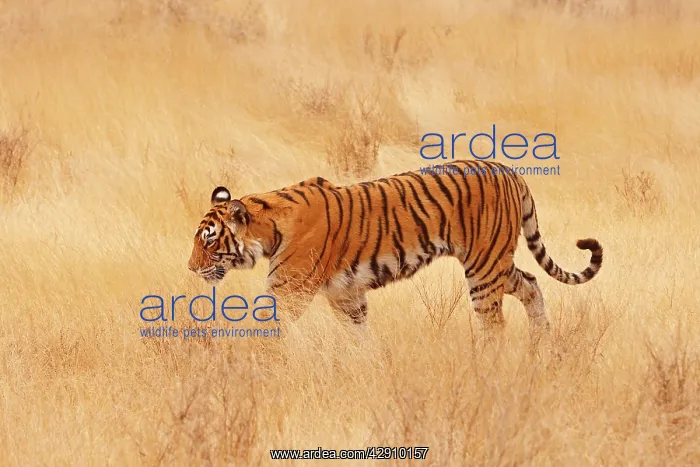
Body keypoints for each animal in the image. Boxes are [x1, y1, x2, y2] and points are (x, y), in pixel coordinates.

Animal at [187, 159, 603, 336]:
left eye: (209, 240)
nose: (190, 269)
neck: (267, 224)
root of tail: (510, 172)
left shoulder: (287, 292)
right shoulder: (347, 296)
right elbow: (359, 339)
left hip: (484, 267)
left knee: (494, 324)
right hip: (496, 261)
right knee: (531, 284)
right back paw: (542, 346)